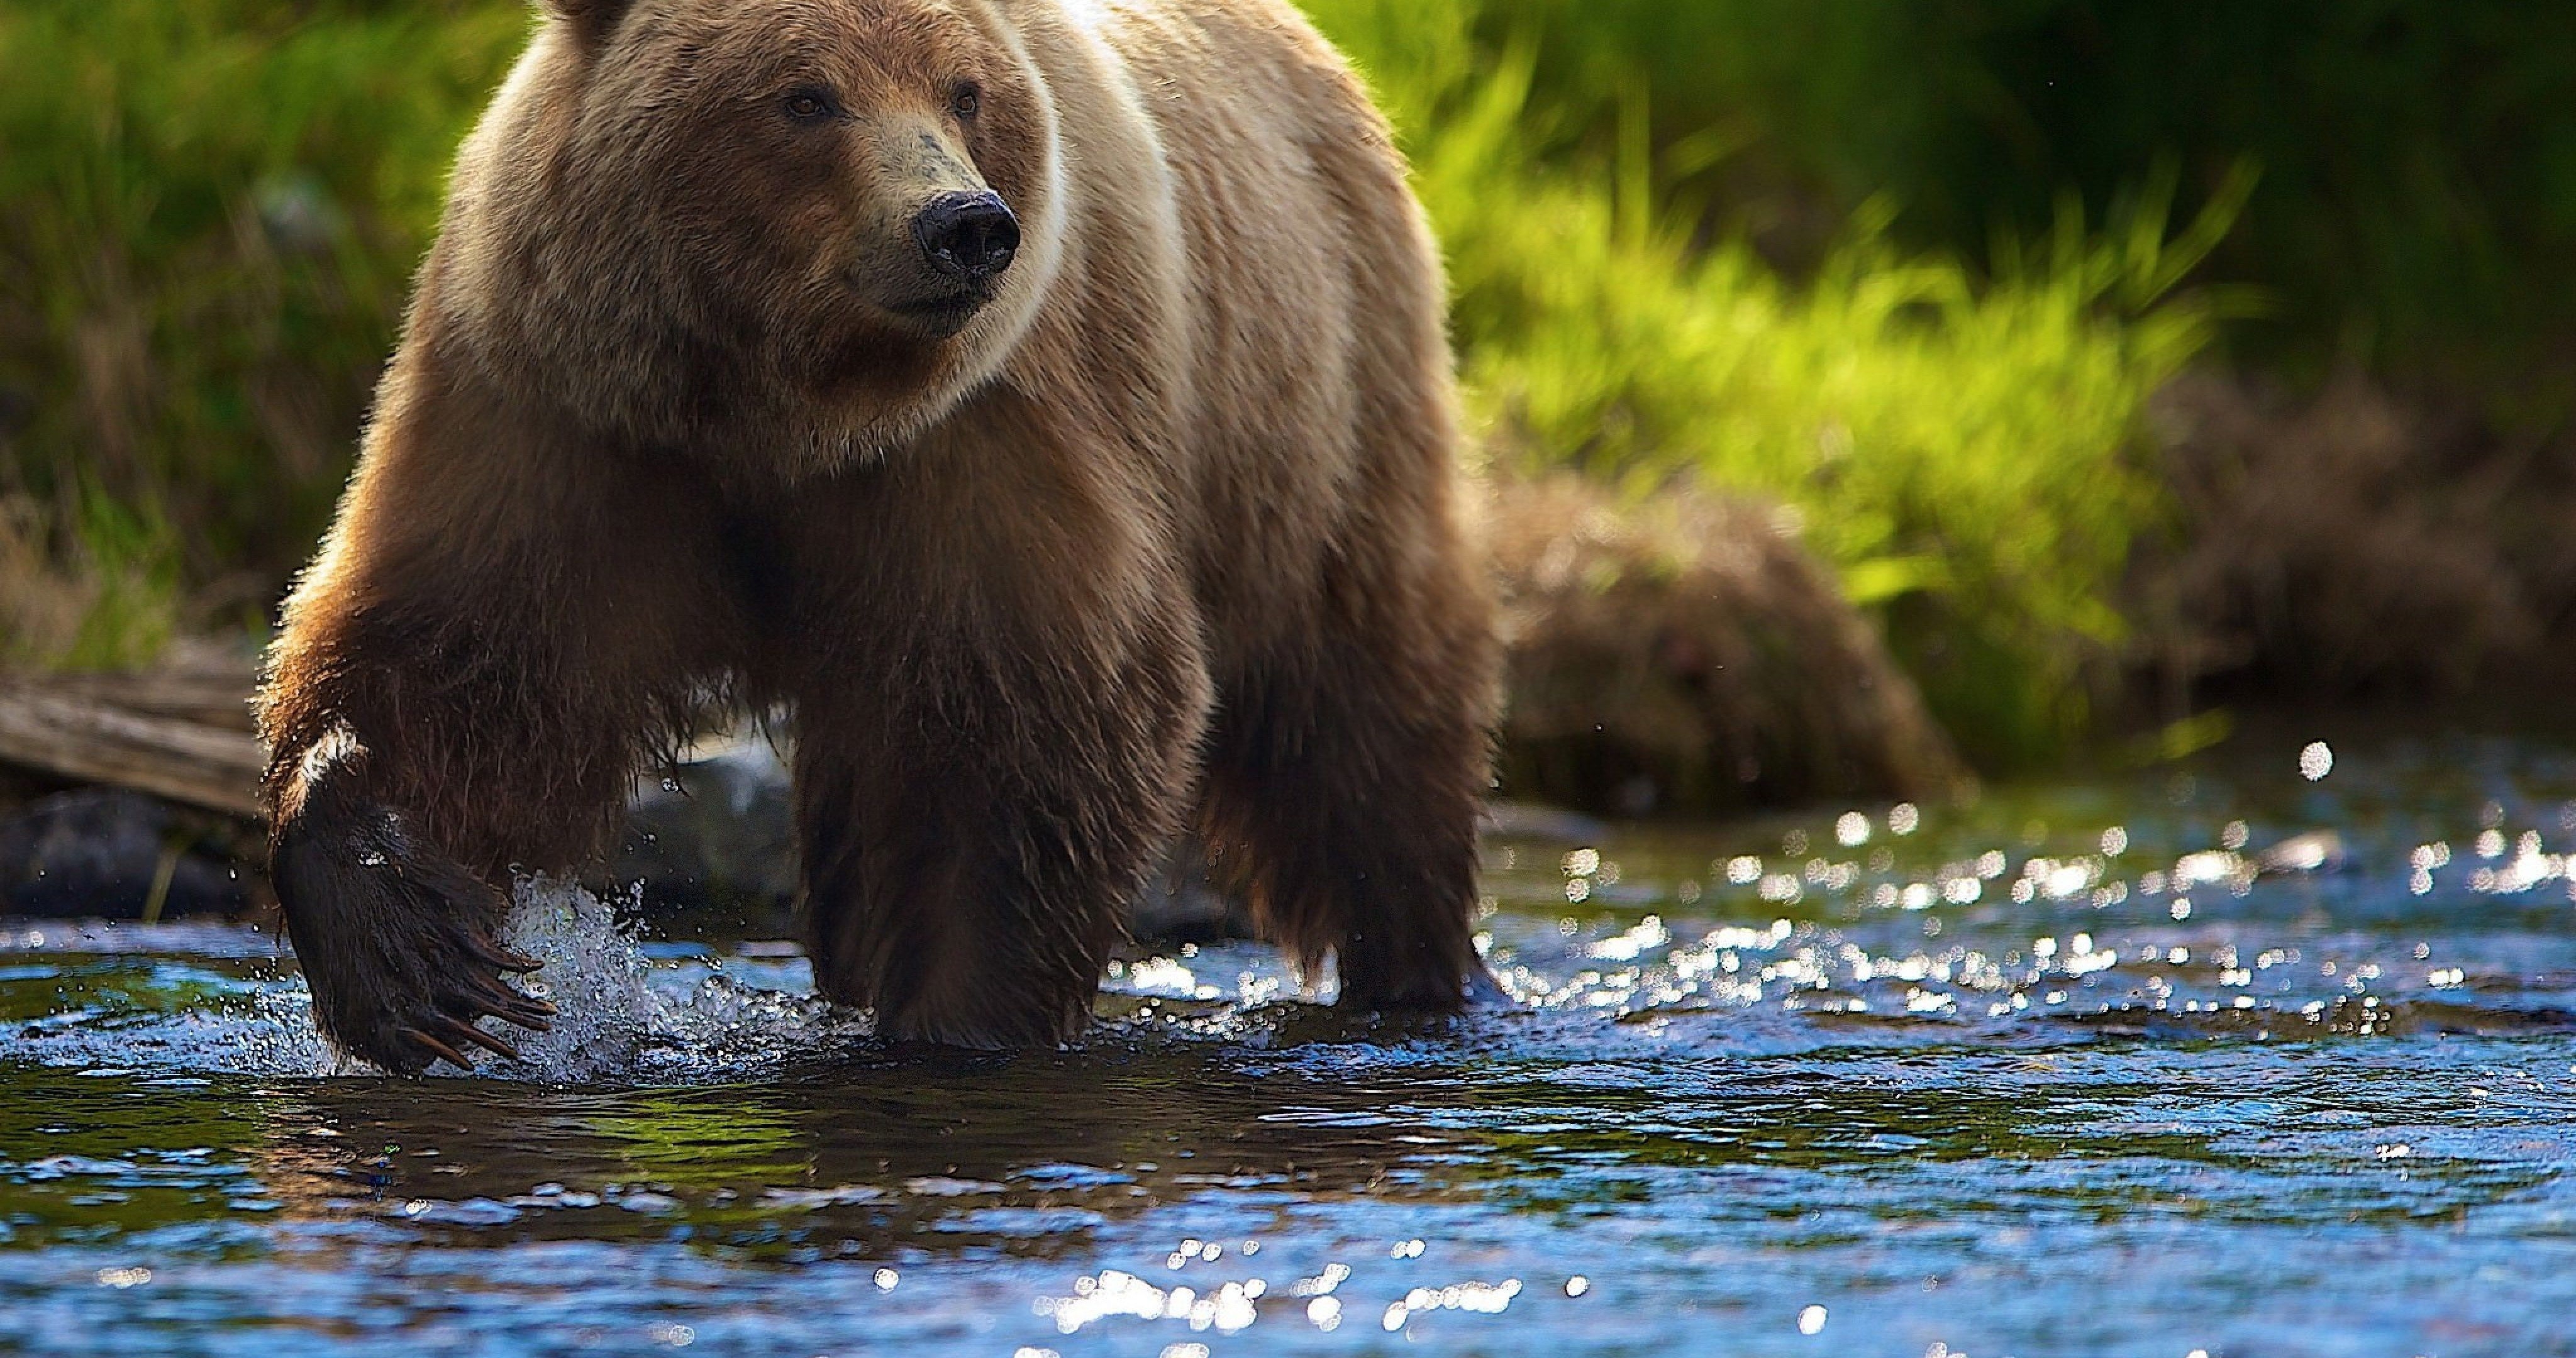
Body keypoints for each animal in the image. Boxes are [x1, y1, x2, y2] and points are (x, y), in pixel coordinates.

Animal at [251, 0, 1504, 1072]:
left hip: (1317, 415)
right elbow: (461, 653)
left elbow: (1027, 730)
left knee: (1363, 707)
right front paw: (413, 946)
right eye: (805, 96)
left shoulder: (980, 440)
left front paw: (963, 1019)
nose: (966, 227)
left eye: (965, 91)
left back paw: (1417, 969)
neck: (779, 410)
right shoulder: (573, 413)